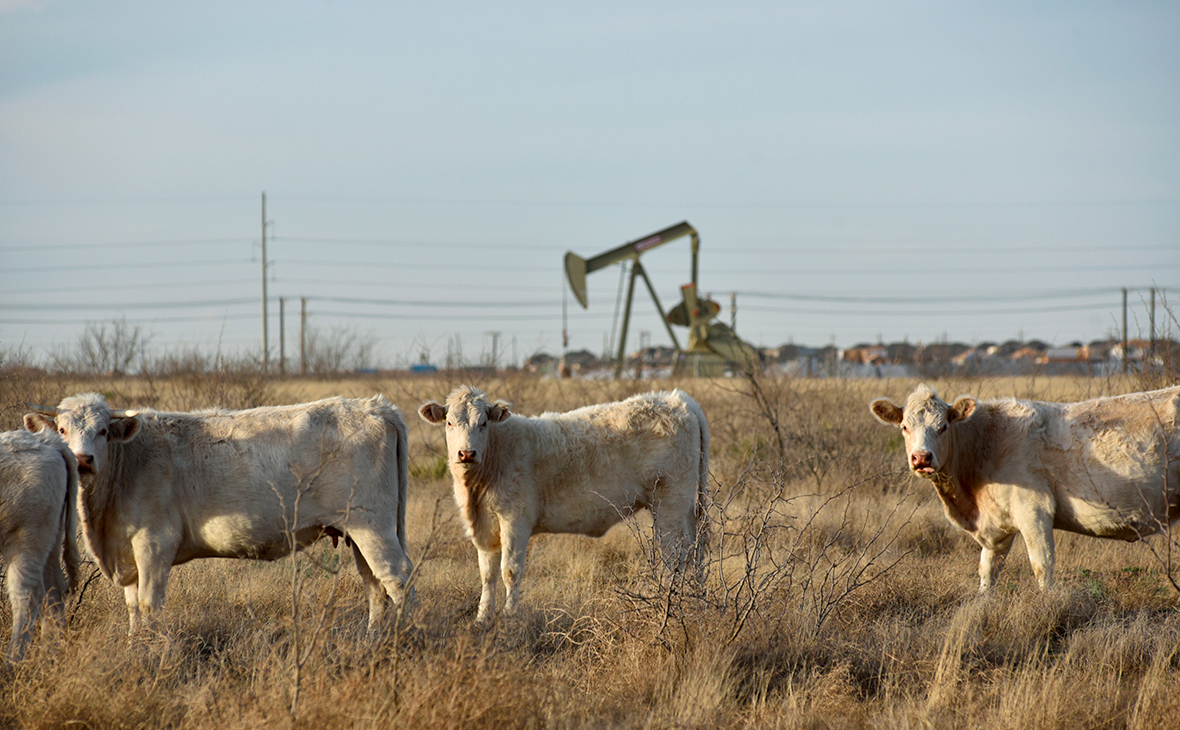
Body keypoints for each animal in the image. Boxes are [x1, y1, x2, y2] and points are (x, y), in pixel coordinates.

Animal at [0, 429, 79, 660]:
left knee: (27, 597)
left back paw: (12, 662)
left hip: (25, 542)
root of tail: (50, 442)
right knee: (53, 594)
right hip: (50, 541)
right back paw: (49, 658)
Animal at [23, 393, 415, 632]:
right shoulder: (127, 555)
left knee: (398, 578)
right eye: (62, 430)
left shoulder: (154, 546)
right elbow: (133, 609)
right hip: (359, 532)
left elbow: (150, 607)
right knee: (375, 585)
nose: (82, 460)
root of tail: (375, 407)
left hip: (372, 526)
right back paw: (373, 640)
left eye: (103, 431)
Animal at [420, 389, 703, 622]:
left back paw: (667, 604)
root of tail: (679, 400)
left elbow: (510, 571)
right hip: (685, 508)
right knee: (695, 552)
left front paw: (509, 617)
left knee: (673, 557)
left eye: (483, 423)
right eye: (449, 422)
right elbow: (487, 575)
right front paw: (482, 618)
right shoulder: (485, 528)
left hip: (671, 503)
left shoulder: (515, 520)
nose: (467, 453)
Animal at [868, 384, 1180, 592]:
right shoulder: (997, 528)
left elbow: (1042, 566)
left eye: (943, 426)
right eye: (904, 427)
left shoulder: (1034, 510)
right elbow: (987, 571)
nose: (921, 458)